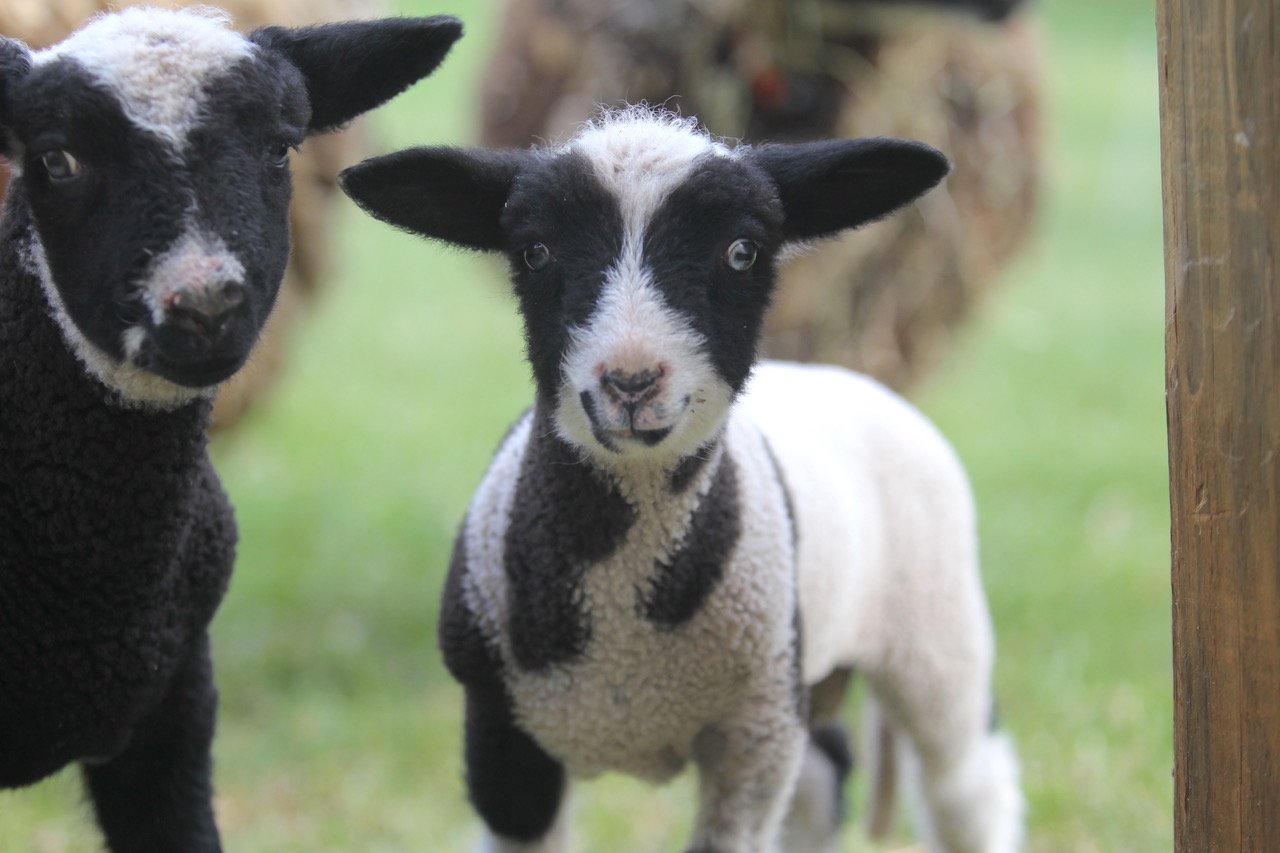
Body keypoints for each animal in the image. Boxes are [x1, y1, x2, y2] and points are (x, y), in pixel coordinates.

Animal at [341, 108, 1024, 852]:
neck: (625, 624)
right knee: (824, 780)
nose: (631, 382)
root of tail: (842, 377)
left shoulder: (752, 733)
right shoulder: (502, 737)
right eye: (535, 252)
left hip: (936, 632)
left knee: (966, 787)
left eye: (742, 252)